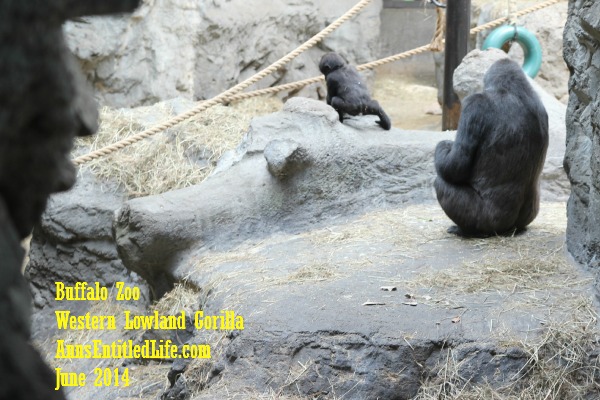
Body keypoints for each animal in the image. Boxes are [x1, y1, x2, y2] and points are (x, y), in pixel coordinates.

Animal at [434, 57, 552, 236]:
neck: (512, 90)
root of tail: (508, 229)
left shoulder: (474, 105)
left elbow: (455, 166)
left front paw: (443, 146)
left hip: (488, 224)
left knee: (441, 183)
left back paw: (464, 230)